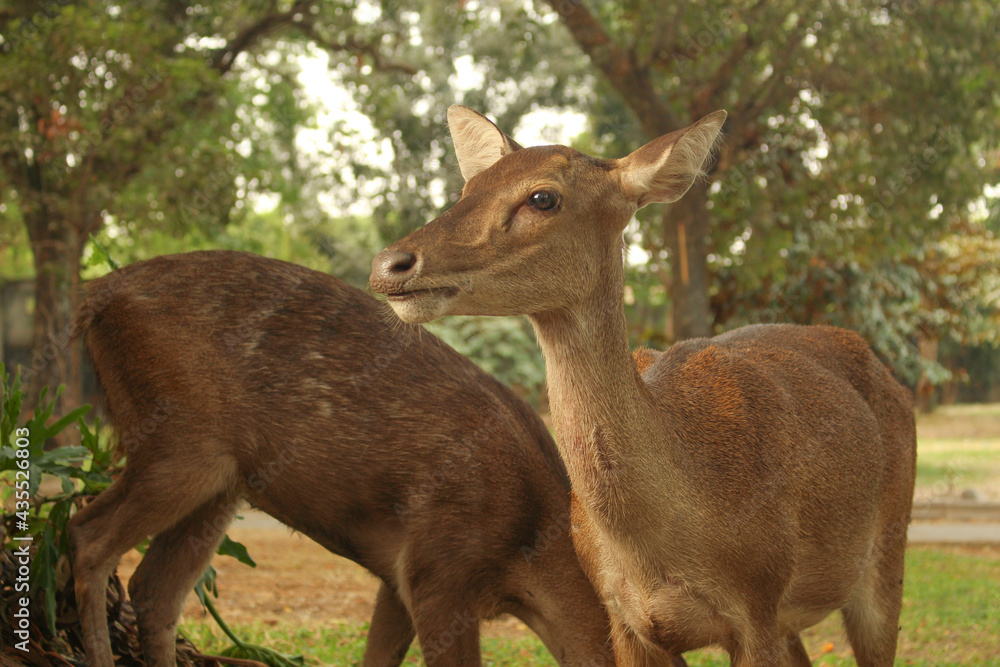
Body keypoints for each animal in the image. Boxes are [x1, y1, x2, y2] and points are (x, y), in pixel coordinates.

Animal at [66, 249, 644, 667]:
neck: (527, 554)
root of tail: (93, 299)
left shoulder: (399, 578)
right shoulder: (437, 569)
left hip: (221, 480)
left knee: (155, 590)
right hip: (180, 438)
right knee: (87, 536)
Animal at [369, 107, 917, 666]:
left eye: (543, 197)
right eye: (468, 189)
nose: (389, 263)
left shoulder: (759, 603)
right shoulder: (622, 617)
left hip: (887, 552)